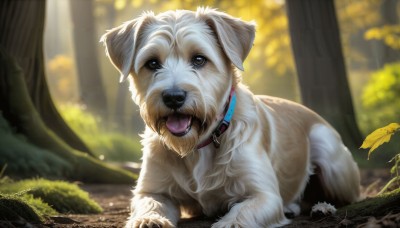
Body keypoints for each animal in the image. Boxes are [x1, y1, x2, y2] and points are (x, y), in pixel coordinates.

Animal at [101, 7, 360, 228]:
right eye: (152, 63)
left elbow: (241, 213)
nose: (174, 97)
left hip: (332, 163)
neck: (198, 146)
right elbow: (149, 203)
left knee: (350, 196)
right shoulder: (152, 190)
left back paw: (323, 207)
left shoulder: (263, 194)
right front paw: (149, 219)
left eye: (199, 59)